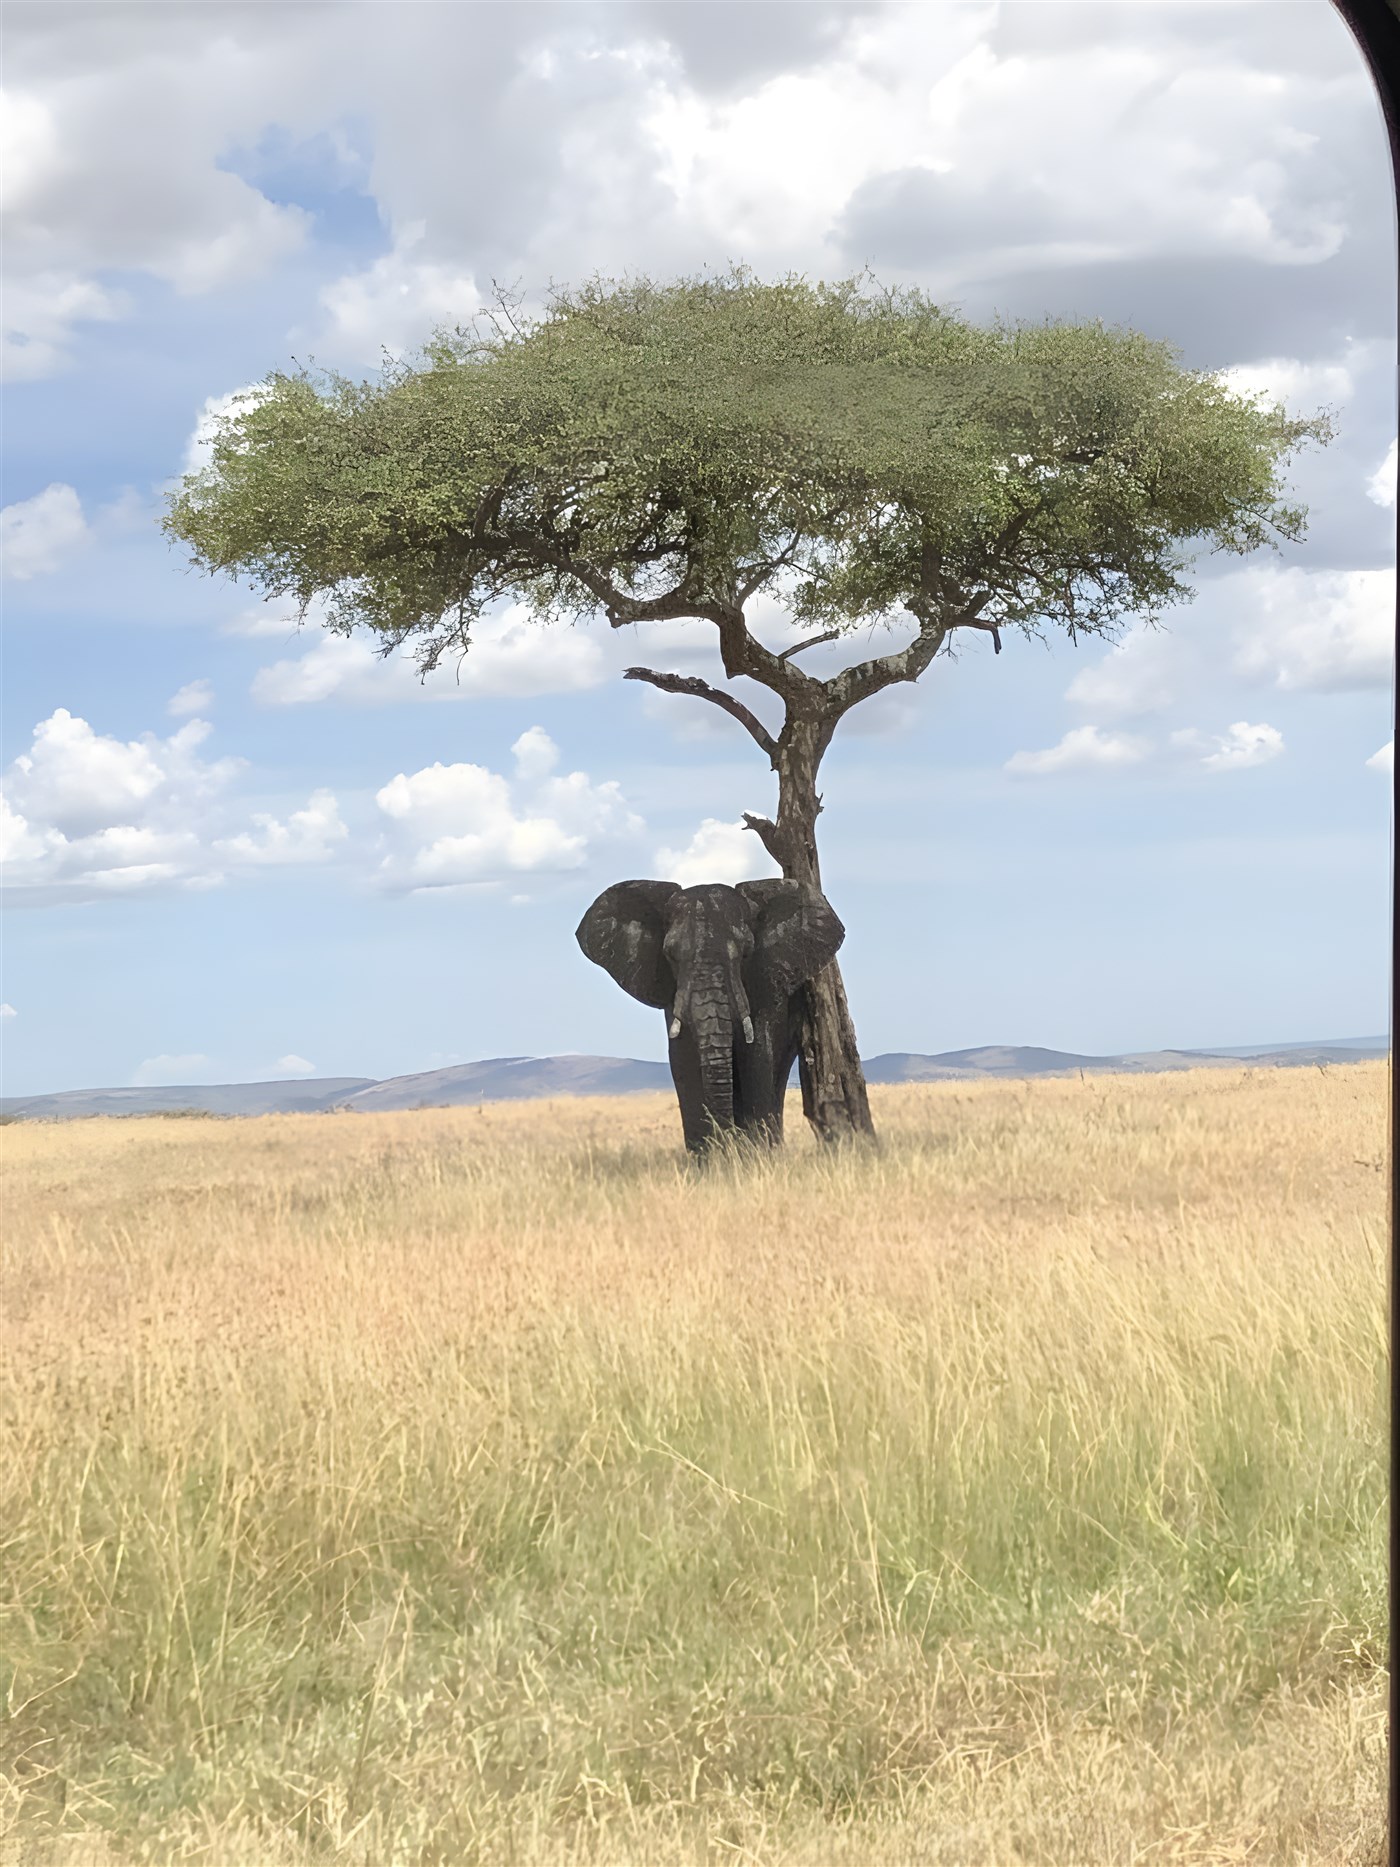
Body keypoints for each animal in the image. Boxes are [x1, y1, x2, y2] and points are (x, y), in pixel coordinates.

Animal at [576, 878, 845, 1153]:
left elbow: (759, 1057)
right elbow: (684, 1061)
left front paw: (757, 1153)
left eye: (746, 952)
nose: (727, 1139)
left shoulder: (765, 983)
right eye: (670, 955)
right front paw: (710, 1158)